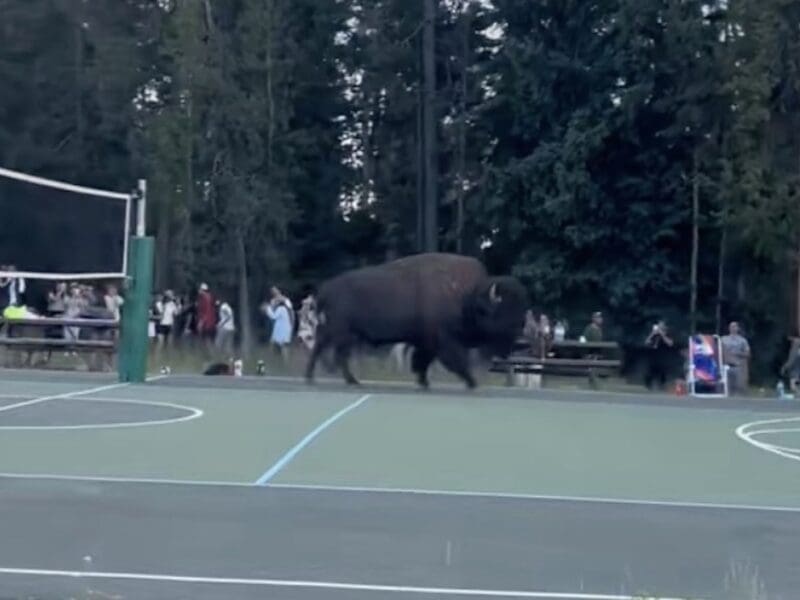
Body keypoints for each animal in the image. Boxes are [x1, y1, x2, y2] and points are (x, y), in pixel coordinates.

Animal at [305, 252, 528, 389]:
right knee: (334, 353)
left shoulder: (427, 342)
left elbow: (422, 360)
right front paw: (472, 382)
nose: (519, 337)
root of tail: (326, 288)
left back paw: (323, 378)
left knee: (325, 350)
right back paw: (342, 380)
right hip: (342, 333)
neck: (467, 296)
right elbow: (456, 361)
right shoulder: (445, 340)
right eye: (503, 312)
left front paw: (423, 381)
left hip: (339, 332)